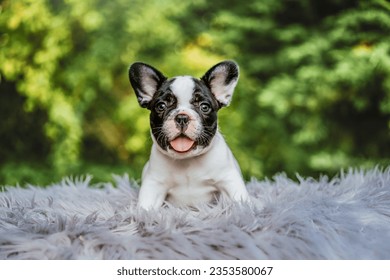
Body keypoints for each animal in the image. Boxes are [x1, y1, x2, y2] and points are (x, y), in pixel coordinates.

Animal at [129, 61, 250, 210]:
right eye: (161, 106)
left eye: (204, 107)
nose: (182, 117)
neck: (187, 160)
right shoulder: (154, 184)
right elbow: (146, 205)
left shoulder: (229, 179)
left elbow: (239, 199)